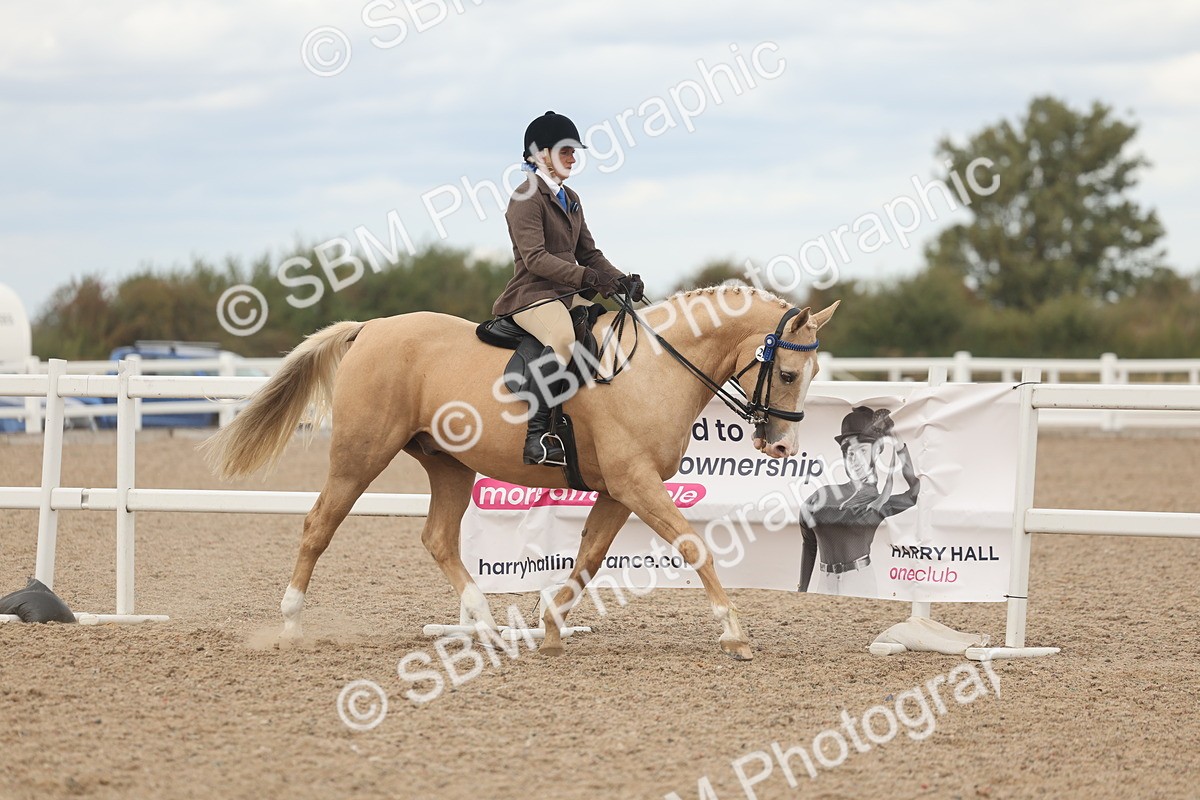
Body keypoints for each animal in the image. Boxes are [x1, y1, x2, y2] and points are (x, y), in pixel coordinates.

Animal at [202, 286, 839, 660]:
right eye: (786, 374)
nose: (781, 445)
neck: (651, 369)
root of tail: (372, 327)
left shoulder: (619, 490)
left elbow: (588, 559)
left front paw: (552, 629)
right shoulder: (635, 483)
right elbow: (692, 545)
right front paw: (734, 632)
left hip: (448, 465)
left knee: (437, 538)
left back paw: (483, 626)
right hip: (360, 455)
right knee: (319, 526)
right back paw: (291, 624)